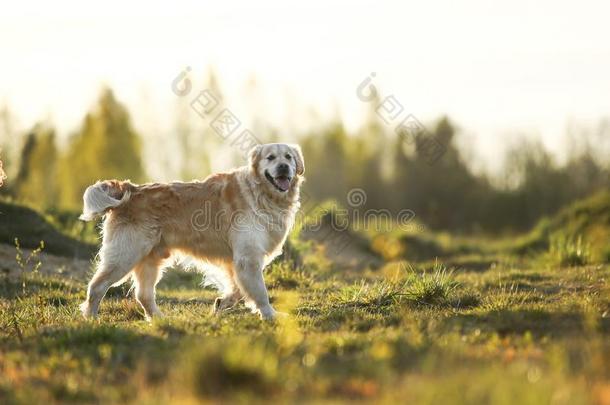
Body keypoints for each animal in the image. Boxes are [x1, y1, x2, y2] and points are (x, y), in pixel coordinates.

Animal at [78, 144, 304, 320]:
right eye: (271, 157)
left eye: (288, 157)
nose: (283, 167)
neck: (261, 194)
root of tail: (130, 189)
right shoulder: (247, 257)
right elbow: (259, 291)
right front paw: (270, 315)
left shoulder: (237, 260)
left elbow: (237, 289)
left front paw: (221, 303)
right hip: (126, 254)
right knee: (97, 286)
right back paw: (92, 318)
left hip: (150, 259)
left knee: (143, 295)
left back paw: (159, 319)